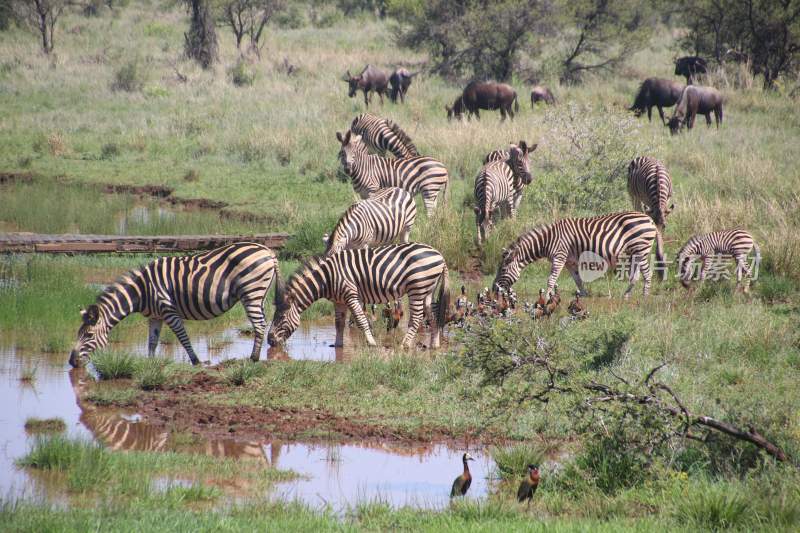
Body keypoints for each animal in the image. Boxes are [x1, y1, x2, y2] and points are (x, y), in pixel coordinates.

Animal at [69, 241, 282, 366]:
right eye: (78, 333)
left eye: (88, 335)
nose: (71, 362)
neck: (142, 291)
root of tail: (267, 251)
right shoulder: (155, 316)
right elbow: (152, 341)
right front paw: (150, 363)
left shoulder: (168, 310)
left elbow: (182, 337)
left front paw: (196, 361)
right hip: (259, 294)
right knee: (262, 322)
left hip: (251, 291)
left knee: (259, 325)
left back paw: (253, 358)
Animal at [268, 244, 450, 352]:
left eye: (280, 318)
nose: (269, 341)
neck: (327, 278)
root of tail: (440, 255)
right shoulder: (338, 301)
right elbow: (339, 323)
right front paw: (338, 344)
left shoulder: (351, 295)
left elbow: (361, 320)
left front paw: (371, 342)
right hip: (427, 291)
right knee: (433, 316)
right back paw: (435, 344)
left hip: (417, 288)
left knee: (417, 317)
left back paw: (404, 344)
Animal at [494, 210, 656, 298]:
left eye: (503, 270)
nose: (494, 289)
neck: (548, 240)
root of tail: (650, 219)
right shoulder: (569, 262)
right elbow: (577, 280)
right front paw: (583, 296)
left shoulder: (559, 257)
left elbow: (551, 279)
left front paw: (546, 297)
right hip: (634, 252)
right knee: (635, 276)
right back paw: (627, 295)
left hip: (641, 249)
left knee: (647, 274)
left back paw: (645, 297)